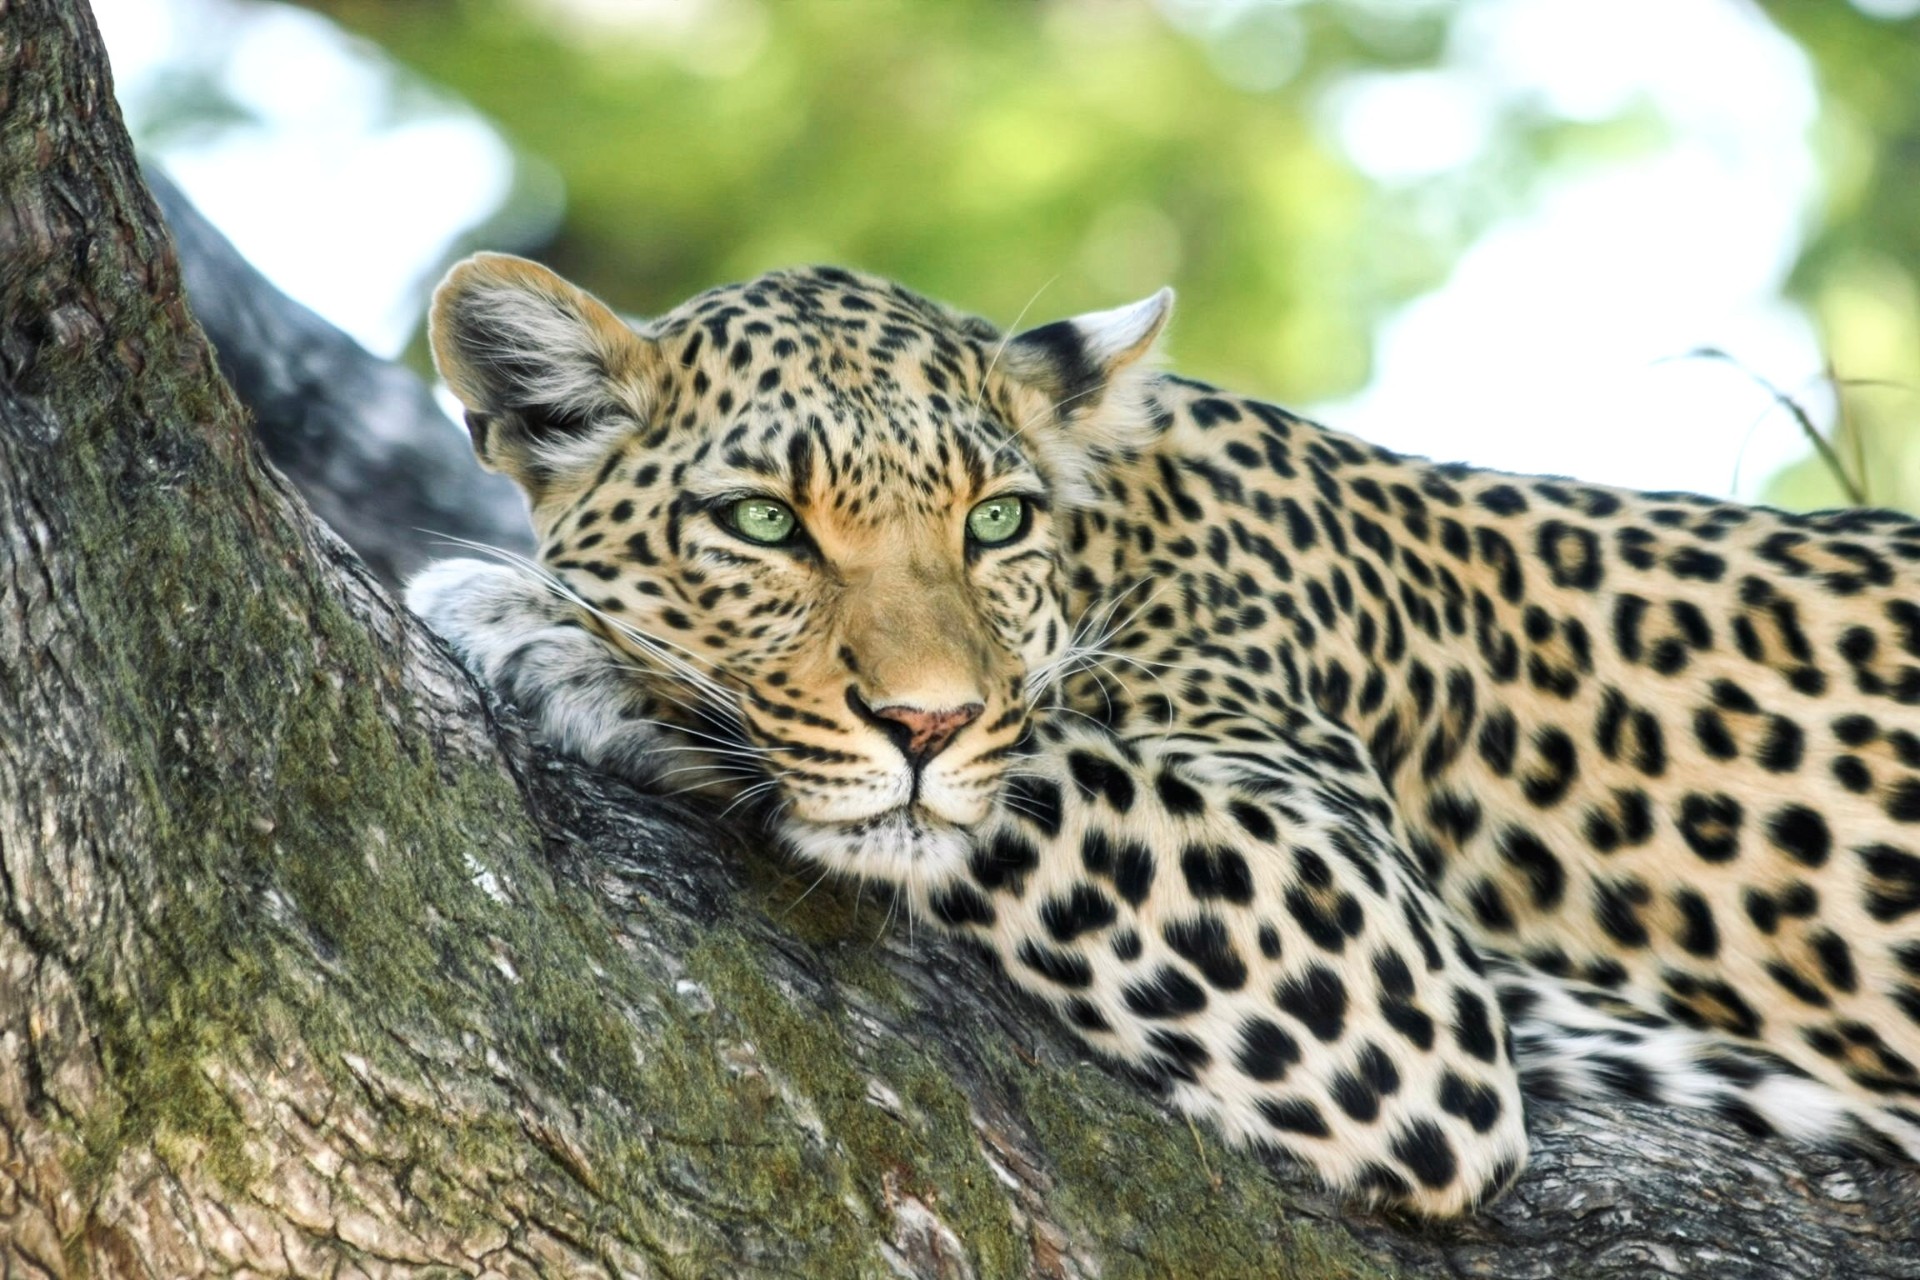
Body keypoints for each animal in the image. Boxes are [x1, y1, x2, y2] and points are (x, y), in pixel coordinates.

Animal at [406, 251, 1920, 1217]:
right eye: (764, 522)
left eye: (994, 521)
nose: (925, 718)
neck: (1120, 535)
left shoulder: (1380, 952)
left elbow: (1036, 773)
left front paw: (558, 632)